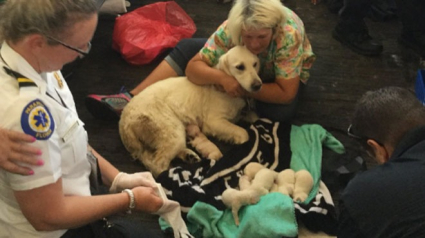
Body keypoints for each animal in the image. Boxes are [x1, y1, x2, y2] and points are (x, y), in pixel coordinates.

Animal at [118, 46, 262, 177]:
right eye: (240, 67)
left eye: (255, 64)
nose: (258, 85)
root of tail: (124, 122)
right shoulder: (213, 122)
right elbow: (243, 132)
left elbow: (253, 116)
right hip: (173, 131)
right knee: (158, 164)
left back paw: (189, 156)